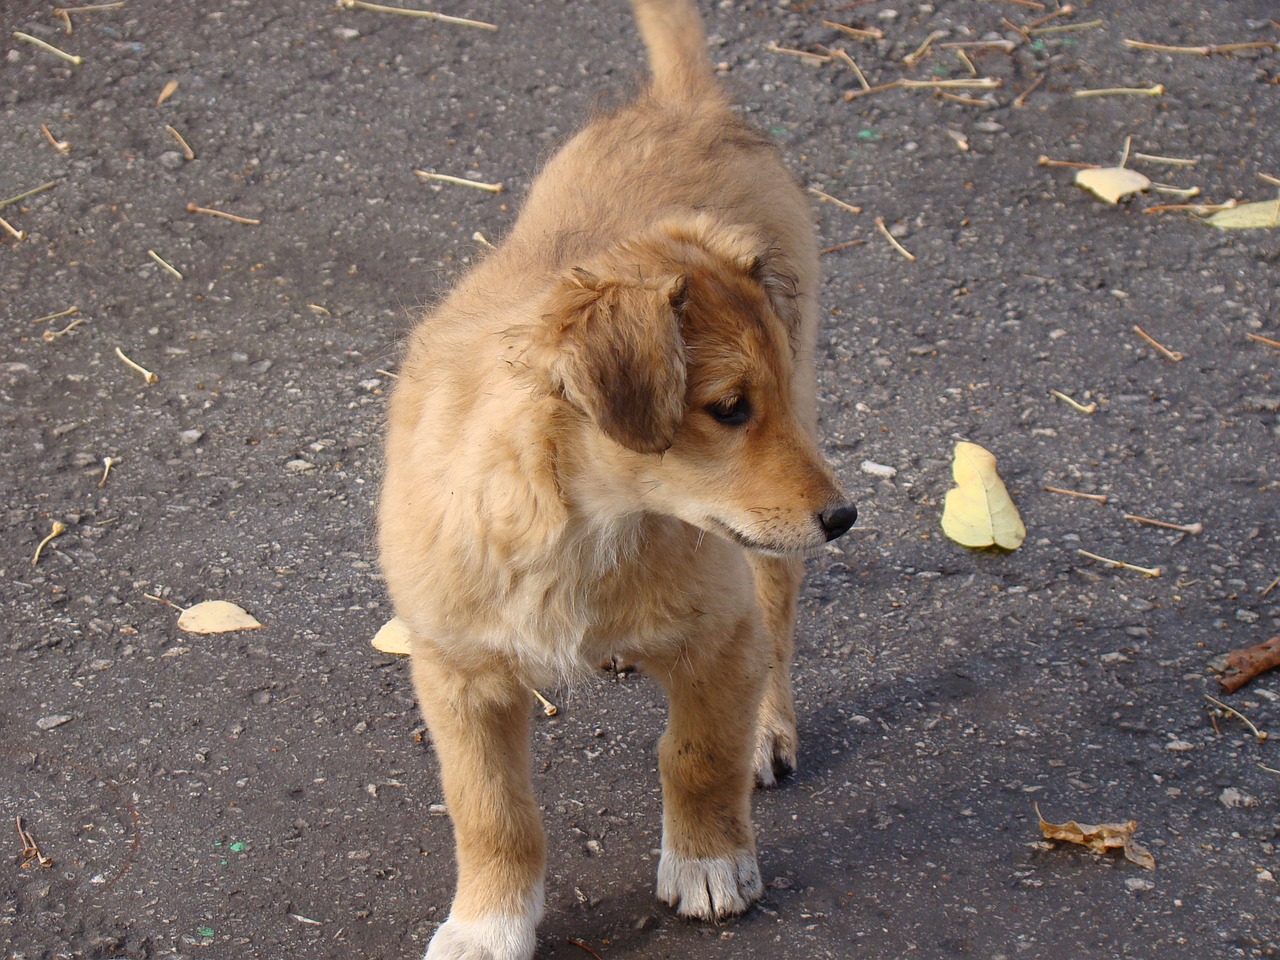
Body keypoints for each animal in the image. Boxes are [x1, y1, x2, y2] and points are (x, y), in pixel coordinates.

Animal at [378, 3, 860, 957]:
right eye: (729, 409)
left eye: (757, 402)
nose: (844, 517)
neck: (583, 523)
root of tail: (684, 105)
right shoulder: (456, 671)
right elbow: (491, 811)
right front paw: (487, 924)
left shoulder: (722, 637)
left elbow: (699, 758)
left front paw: (709, 865)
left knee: (778, 608)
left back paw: (770, 728)